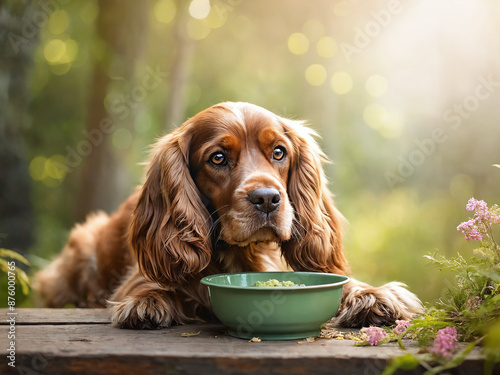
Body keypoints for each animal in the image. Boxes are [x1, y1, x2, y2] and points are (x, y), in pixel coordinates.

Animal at [35, 102, 422, 328]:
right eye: (218, 158)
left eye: (279, 152)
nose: (267, 199)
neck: (239, 253)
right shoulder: (143, 270)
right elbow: (149, 285)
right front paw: (147, 301)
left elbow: (340, 280)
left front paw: (372, 295)